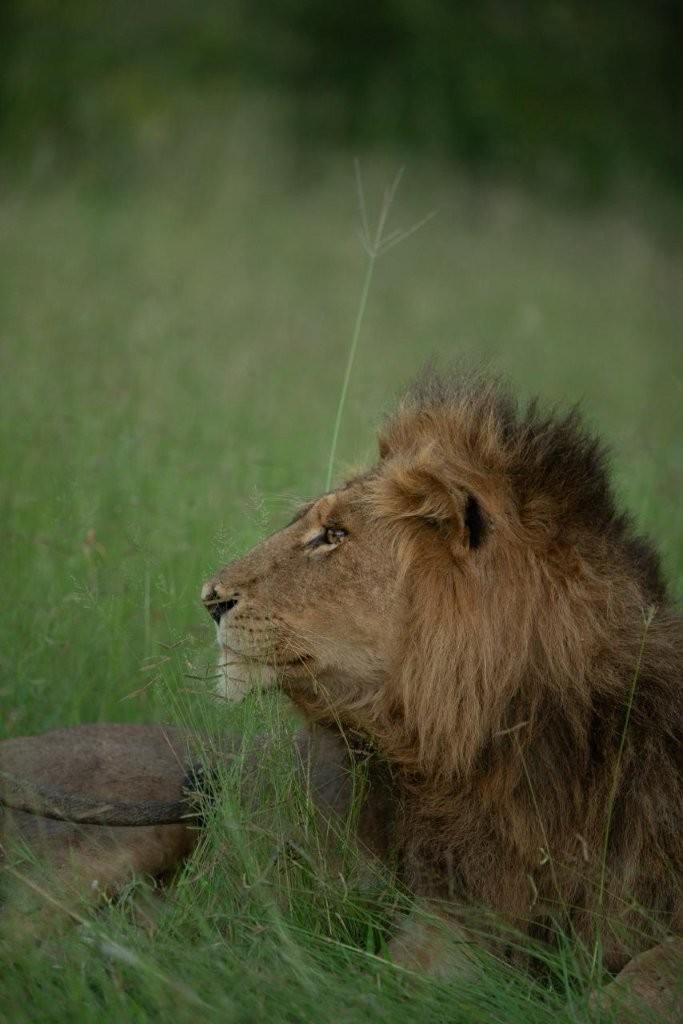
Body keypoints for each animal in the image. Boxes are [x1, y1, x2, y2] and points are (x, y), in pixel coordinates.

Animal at [2, 373, 681, 1016]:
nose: (210, 598)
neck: (524, 743)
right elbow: (389, 980)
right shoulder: (456, 914)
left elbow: (645, 975)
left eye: (332, 535)